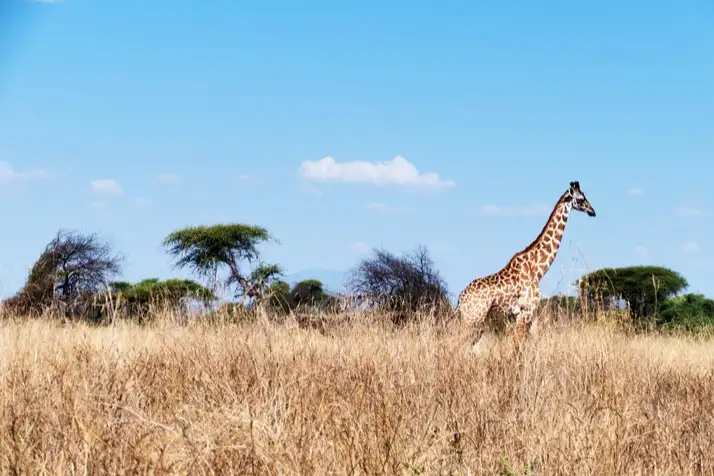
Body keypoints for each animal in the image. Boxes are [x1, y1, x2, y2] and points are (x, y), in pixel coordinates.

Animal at [456, 180, 596, 352]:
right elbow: (517, 347)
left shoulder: (529, 313)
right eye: (582, 199)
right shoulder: (525, 311)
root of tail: (460, 299)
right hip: (474, 320)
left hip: (474, 321)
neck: (537, 269)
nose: (592, 211)